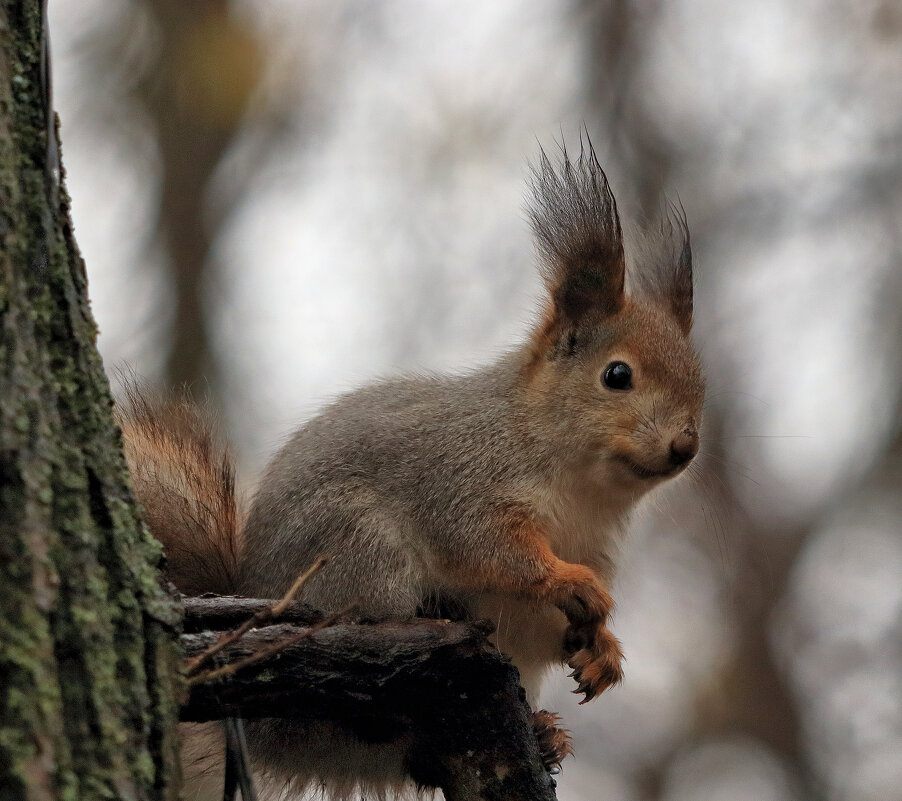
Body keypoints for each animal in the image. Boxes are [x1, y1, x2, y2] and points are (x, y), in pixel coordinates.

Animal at [118, 141, 708, 796]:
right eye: (617, 375)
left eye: (700, 382)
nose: (686, 445)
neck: (579, 488)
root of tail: (268, 733)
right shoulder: (463, 479)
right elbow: (492, 549)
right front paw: (567, 580)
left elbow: (553, 628)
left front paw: (603, 649)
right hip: (360, 554)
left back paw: (545, 732)